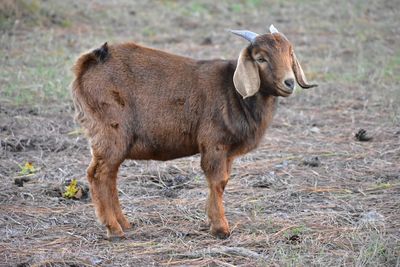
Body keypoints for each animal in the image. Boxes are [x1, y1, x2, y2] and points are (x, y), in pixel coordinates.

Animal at [71, 24, 316, 239]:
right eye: (260, 58)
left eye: (290, 53)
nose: (289, 82)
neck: (234, 92)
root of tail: (90, 62)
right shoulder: (214, 143)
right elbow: (217, 181)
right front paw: (220, 229)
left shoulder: (227, 152)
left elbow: (223, 182)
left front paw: (212, 222)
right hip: (111, 131)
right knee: (98, 174)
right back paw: (114, 230)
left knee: (109, 175)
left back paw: (124, 223)